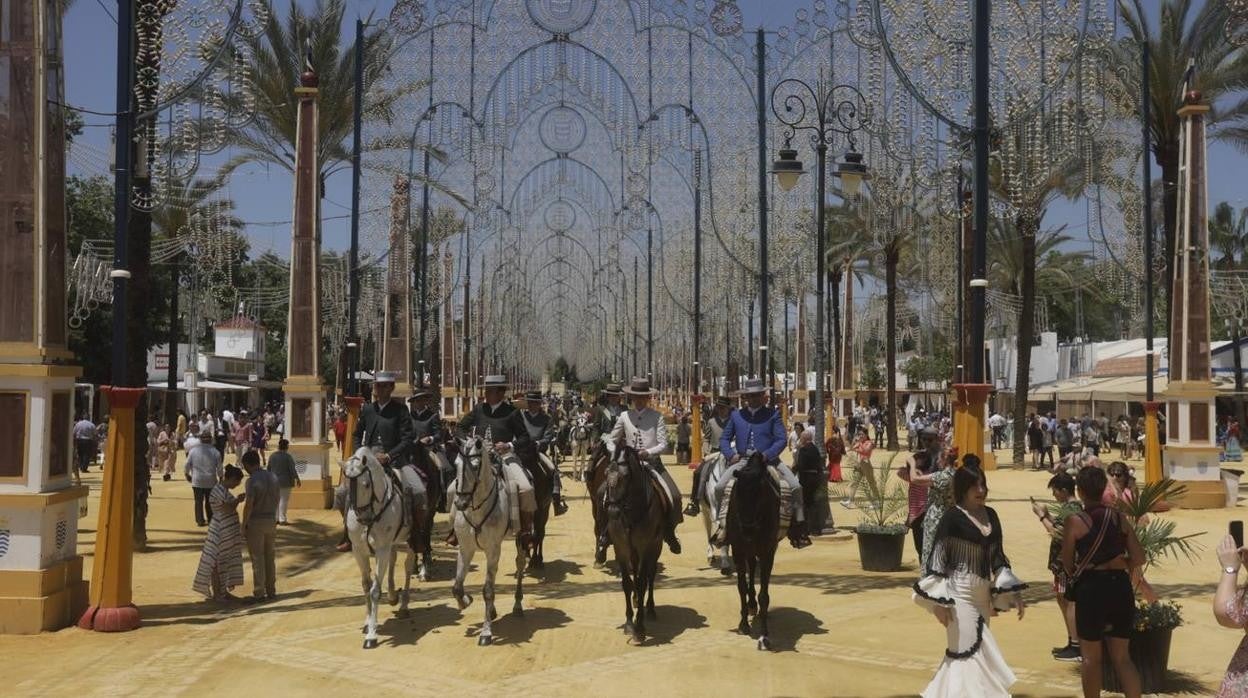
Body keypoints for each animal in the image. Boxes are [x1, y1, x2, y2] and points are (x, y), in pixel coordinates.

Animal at [344, 447, 416, 649]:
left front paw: (372, 635)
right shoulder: (358, 550)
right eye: (348, 485)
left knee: (407, 567)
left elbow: (375, 590)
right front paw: (368, 622)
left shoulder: (382, 549)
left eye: (367, 484)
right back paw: (392, 596)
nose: (363, 518)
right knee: (393, 559)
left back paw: (404, 605)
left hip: (412, 540)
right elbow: (366, 586)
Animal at [449, 439, 526, 649]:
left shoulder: (493, 550)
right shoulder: (465, 549)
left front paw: (486, 632)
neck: (476, 508)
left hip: (521, 537)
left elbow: (488, 590)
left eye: (475, 467)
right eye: (456, 465)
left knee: (520, 564)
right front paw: (466, 601)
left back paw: (517, 605)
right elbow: (457, 587)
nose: (460, 503)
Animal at [601, 444, 663, 649]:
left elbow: (642, 582)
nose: (612, 510)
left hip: (656, 547)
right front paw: (629, 622)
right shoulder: (621, 548)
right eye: (606, 473)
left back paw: (649, 608)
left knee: (650, 576)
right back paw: (637, 601)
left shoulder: (645, 548)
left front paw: (640, 629)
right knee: (635, 574)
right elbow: (627, 583)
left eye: (626, 476)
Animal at [723, 449, 778, 654]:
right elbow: (741, 587)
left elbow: (764, 595)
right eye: (737, 494)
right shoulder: (738, 550)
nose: (747, 529)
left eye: (760, 493)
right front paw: (743, 624)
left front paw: (764, 636)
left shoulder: (767, 552)